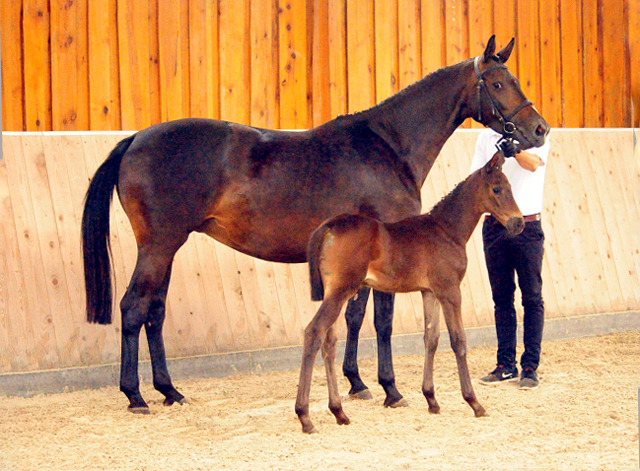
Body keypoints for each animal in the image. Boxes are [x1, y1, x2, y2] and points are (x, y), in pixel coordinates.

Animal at [296, 154, 524, 436]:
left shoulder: (429, 292)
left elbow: (431, 339)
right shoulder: (450, 291)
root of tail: (327, 227)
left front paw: (432, 400)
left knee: (329, 343)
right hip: (340, 292)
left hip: (336, 294)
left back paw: (339, 412)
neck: (445, 230)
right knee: (313, 333)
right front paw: (474, 402)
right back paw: (305, 417)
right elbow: (458, 341)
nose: (518, 223)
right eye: (497, 189)